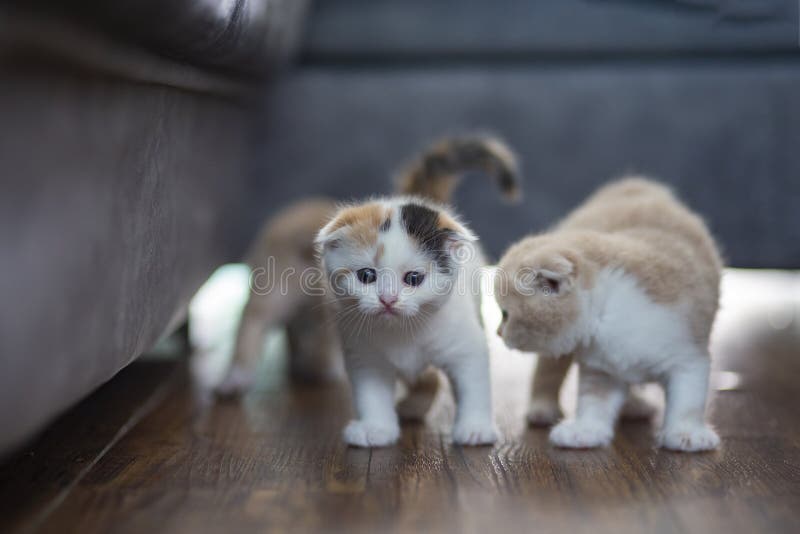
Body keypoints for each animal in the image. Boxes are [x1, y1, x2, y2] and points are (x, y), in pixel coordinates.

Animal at [314, 137, 520, 448]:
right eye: (366, 276)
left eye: (413, 278)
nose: (388, 299)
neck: (402, 332)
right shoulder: (364, 354)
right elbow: (372, 395)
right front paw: (375, 428)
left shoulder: (465, 345)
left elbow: (474, 382)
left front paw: (475, 428)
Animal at [496, 179, 720, 452]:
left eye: (505, 314)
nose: (497, 332)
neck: (611, 313)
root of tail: (633, 184)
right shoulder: (600, 367)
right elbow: (594, 401)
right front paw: (585, 430)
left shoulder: (688, 355)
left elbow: (687, 399)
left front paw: (686, 433)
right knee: (547, 370)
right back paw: (542, 409)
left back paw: (634, 406)